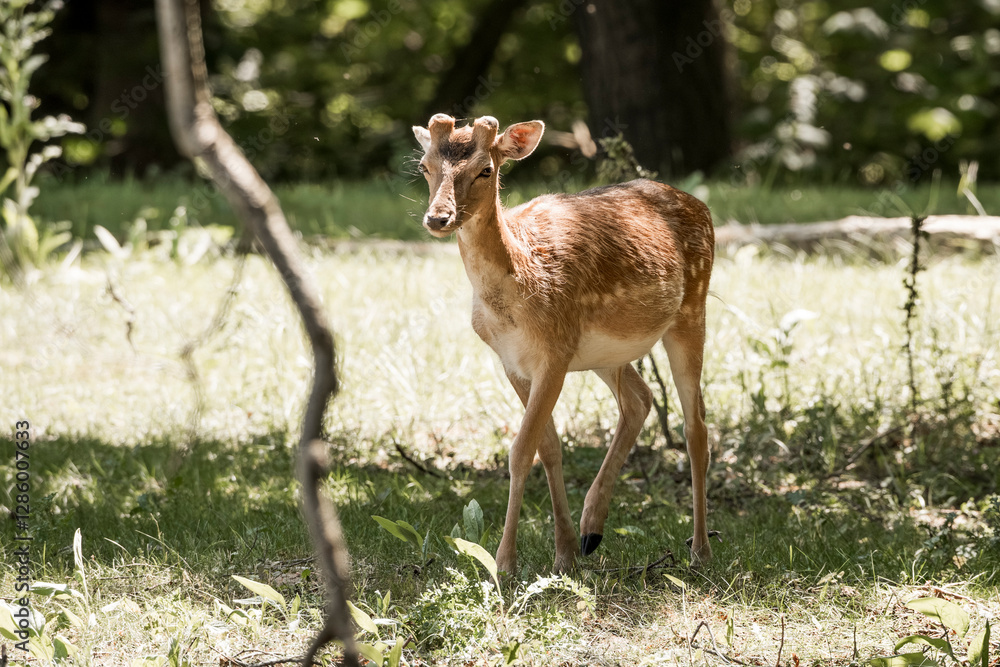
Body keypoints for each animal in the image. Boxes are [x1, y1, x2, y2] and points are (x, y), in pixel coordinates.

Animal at [412, 114, 715, 574]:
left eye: (486, 169)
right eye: (425, 167)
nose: (438, 218)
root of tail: (703, 207)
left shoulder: (554, 351)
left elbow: (521, 450)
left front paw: (504, 564)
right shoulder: (513, 362)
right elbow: (548, 447)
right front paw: (564, 553)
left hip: (691, 310)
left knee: (695, 425)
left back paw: (700, 550)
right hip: (606, 353)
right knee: (640, 399)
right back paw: (593, 530)